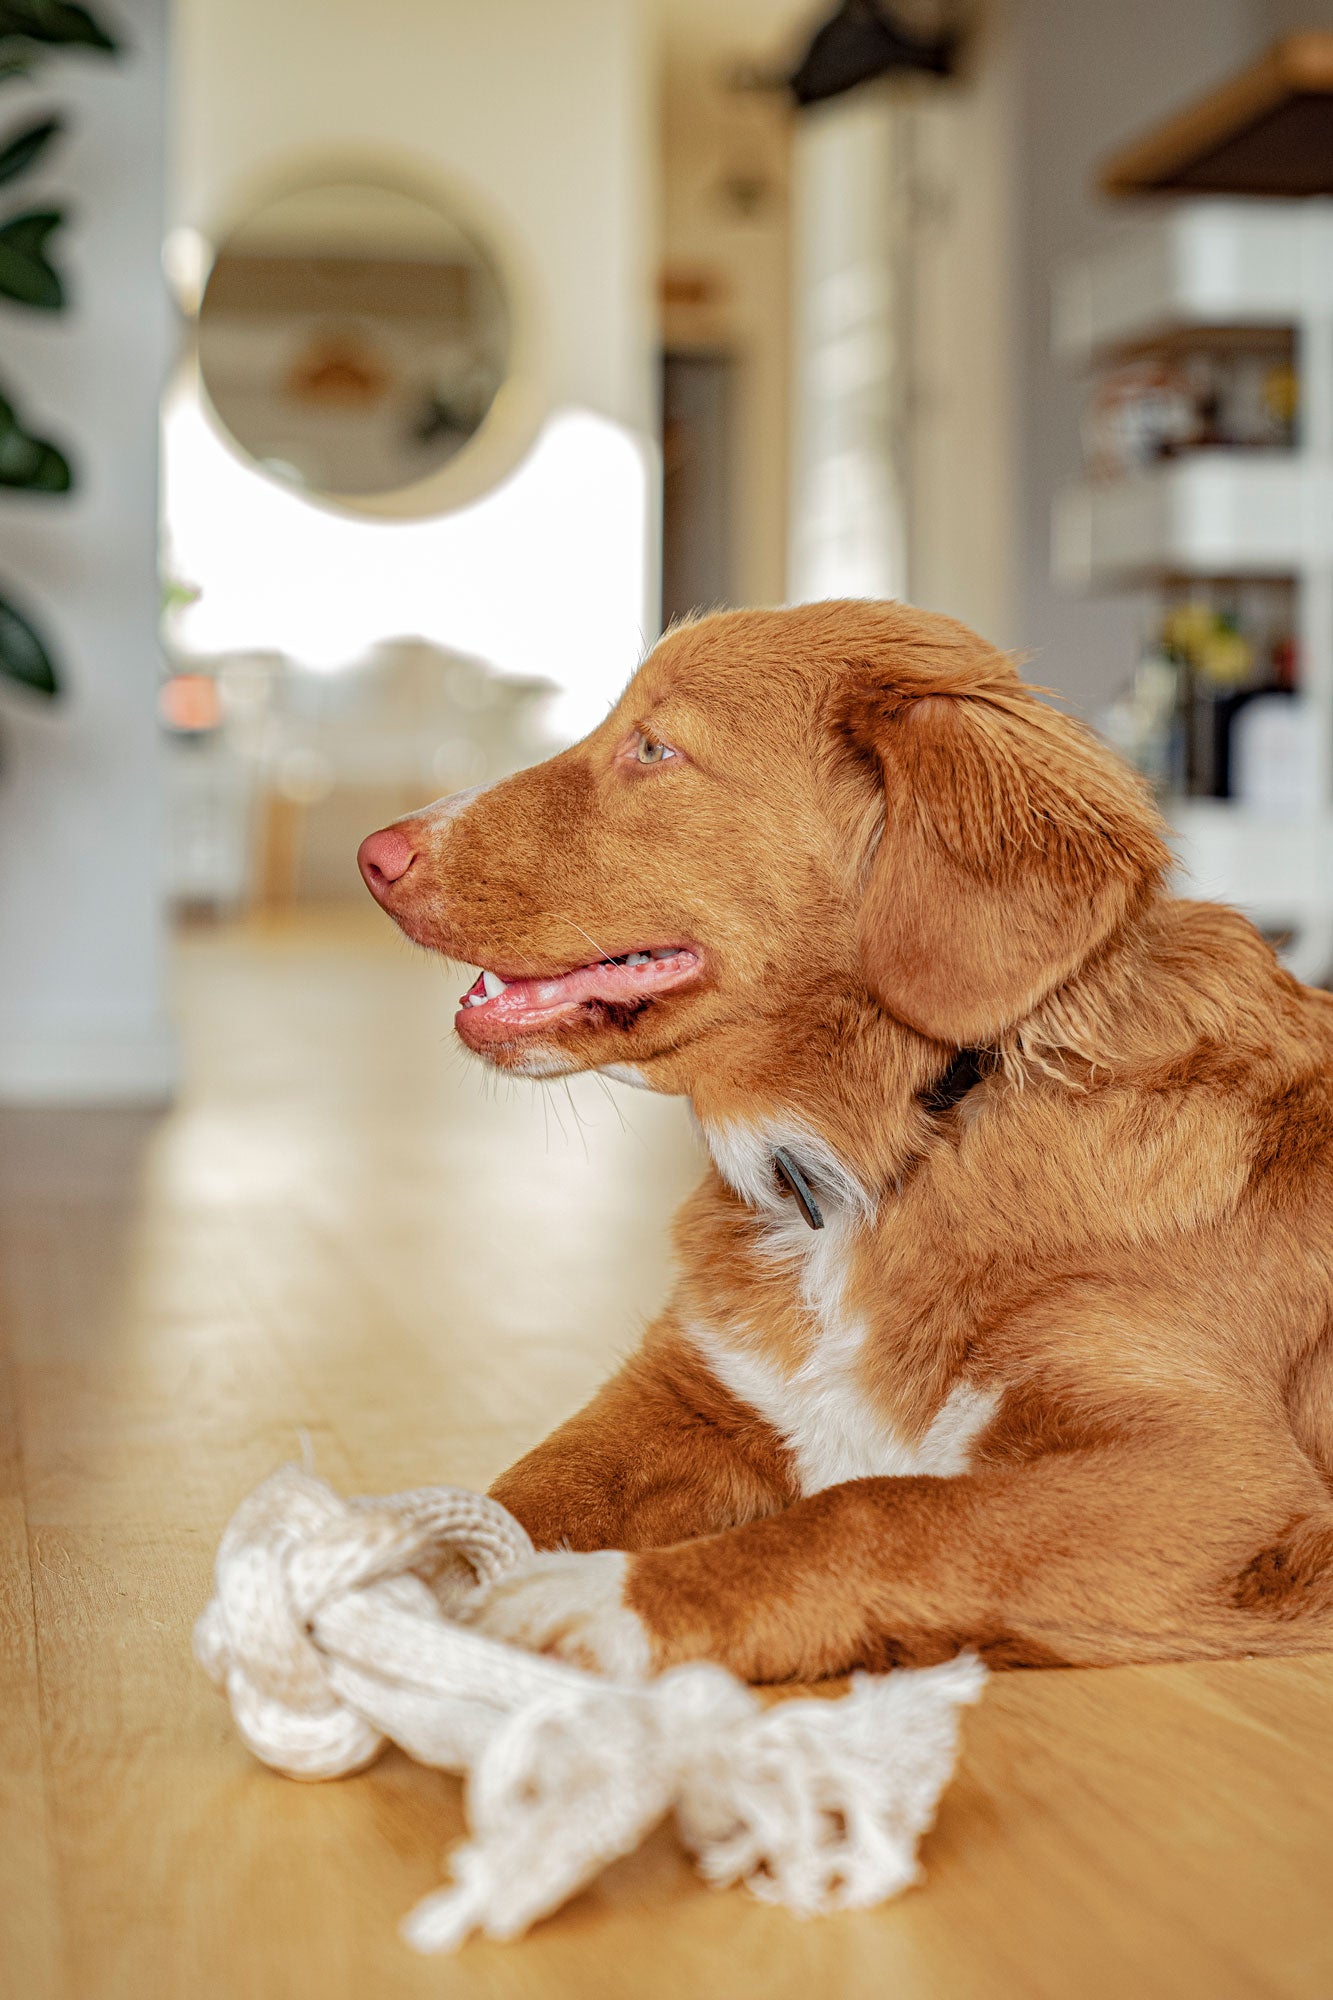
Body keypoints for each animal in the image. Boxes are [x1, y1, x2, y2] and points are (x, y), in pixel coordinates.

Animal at [358, 600, 1328, 1680]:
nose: (373, 855)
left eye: (653, 747)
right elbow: (519, 1488)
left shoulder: (1219, 1475)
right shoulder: (690, 1390)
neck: (910, 1136)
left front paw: (598, 1596)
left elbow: (876, 1512)